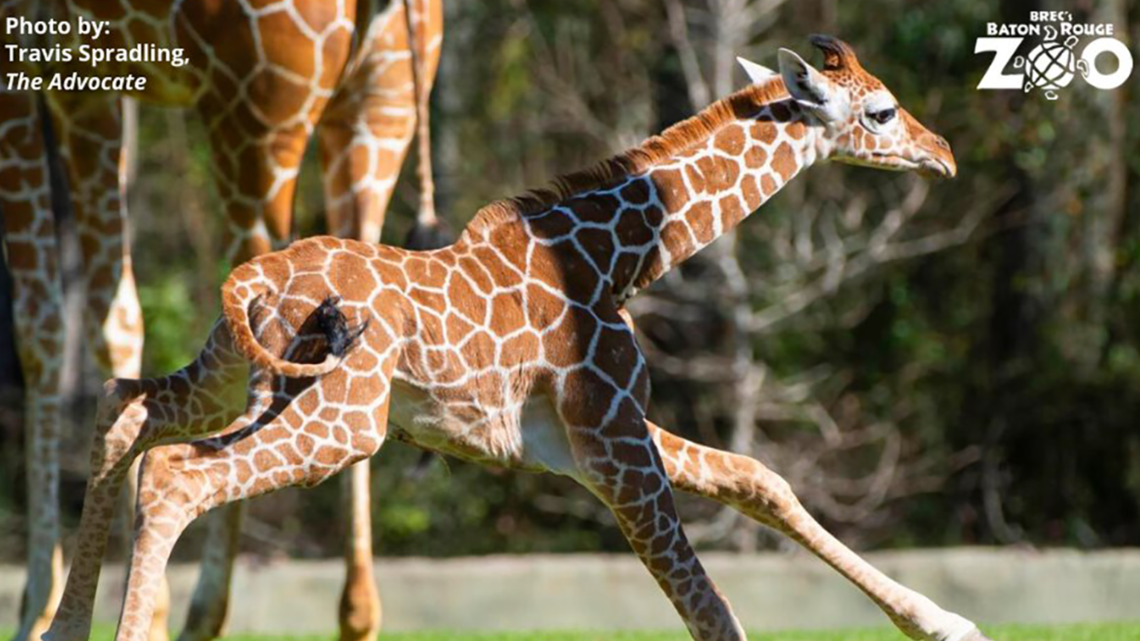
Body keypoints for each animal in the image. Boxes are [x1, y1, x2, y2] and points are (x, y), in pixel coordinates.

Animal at [0, 1, 442, 638]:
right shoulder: (96, 75)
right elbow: (117, 318)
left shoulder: (46, 68)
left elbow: (45, 326)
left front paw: (40, 607)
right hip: (381, 107)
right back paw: (355, 615)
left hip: (256, 118)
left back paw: (204, 611)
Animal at [44, 34, 989, 638]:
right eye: (882, 111)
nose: (944, 153)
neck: (616, 260)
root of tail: (250, 281)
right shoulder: (613, 446)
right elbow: (713, 607)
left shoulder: (575, 443)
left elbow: (759, 479)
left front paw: (949, 623)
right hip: (344, 416)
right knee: (175, 474)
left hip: (229, 374)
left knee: (125, 408)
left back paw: (63, 629)